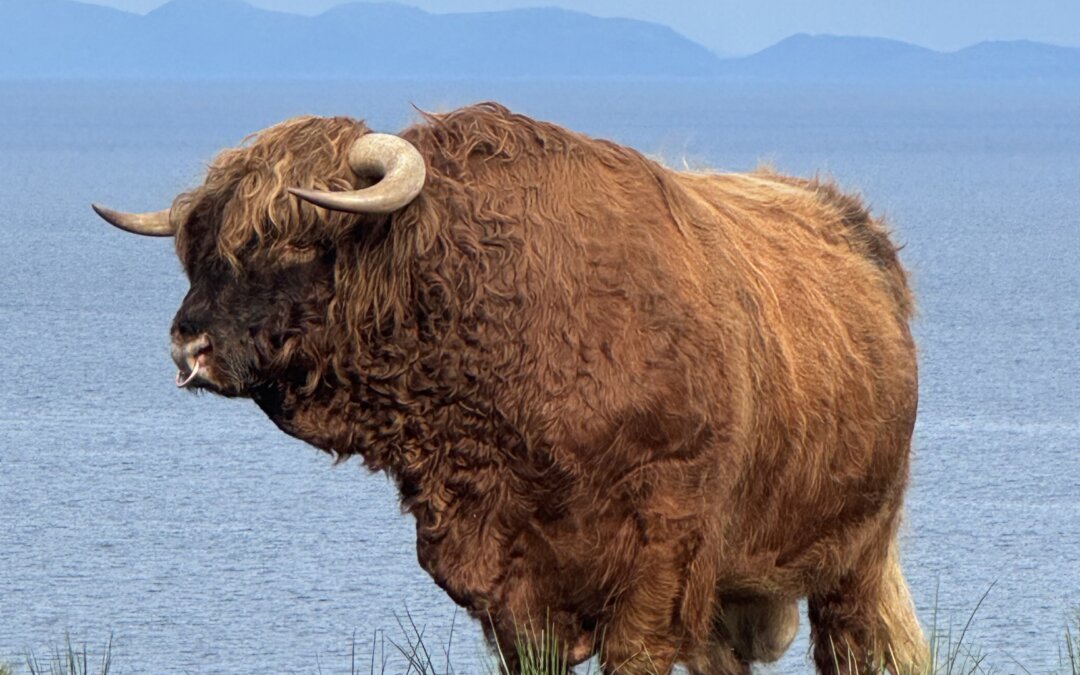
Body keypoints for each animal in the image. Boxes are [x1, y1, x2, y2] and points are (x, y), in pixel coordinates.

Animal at [93, 102, 927, 674]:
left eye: (292, 238)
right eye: (196, 246)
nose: (188, 341)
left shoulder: (661, 560)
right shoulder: (508, 581)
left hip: (855, 554)